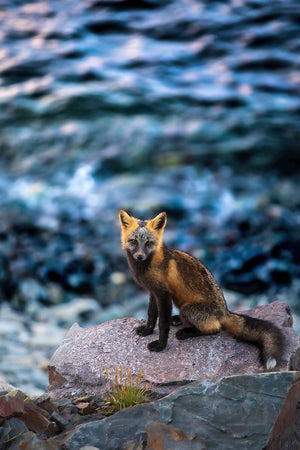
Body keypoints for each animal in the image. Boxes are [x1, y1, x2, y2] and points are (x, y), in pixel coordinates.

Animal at [119, 208, 284, 370]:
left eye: (149, 243)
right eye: (133, 241)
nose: (140, 256)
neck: (148, 266)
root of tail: (225, 312)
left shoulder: (164, 294)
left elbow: (162, 324)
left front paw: (161, 345)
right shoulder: (153, 291)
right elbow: (152, 314)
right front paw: (147, 331)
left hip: (187, 309)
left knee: (214, 328)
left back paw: (186, 332)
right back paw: (178, 320)